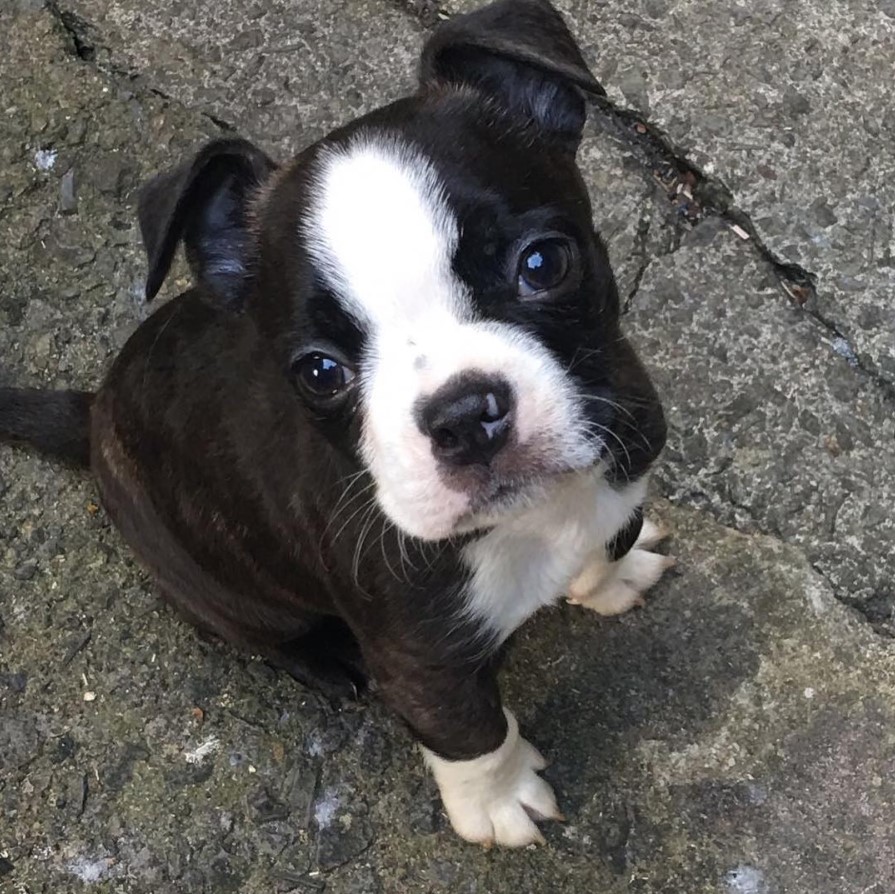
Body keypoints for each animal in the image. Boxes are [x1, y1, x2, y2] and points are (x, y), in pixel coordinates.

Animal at [1, 0, 672, 852]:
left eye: (542, 264)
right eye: (319, 372)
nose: (463, 415)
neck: (534, 522)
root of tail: (94, 413)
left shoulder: (622, 463)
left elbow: (612, 534)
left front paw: (614, 574)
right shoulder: (420, 662)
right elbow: (472, 733)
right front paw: (499, 802)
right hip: (216, 583)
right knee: (263, 634)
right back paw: (324, 660)